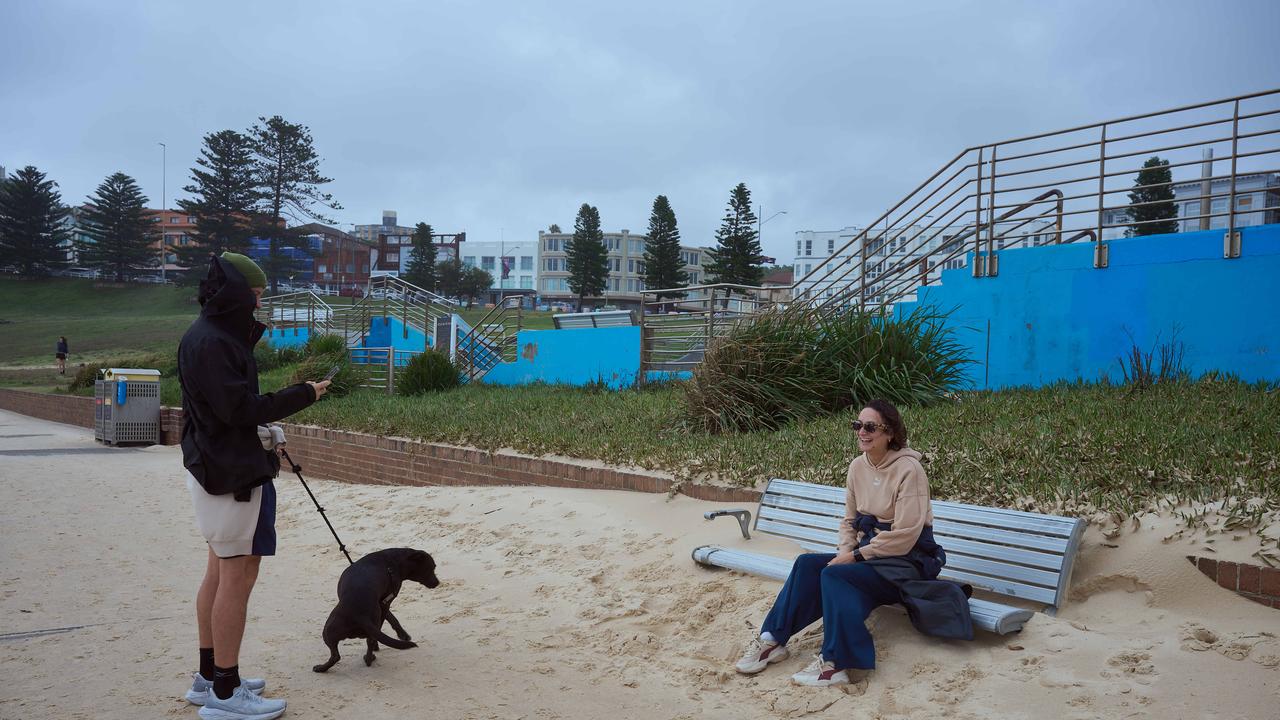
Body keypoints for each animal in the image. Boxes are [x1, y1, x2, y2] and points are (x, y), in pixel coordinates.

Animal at [311, 545, 440, 671]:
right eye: (431, 568)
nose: (437, 583)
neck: (395, 562)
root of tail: (360, 615)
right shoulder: (384, 603)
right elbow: (391, 618)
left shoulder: (385, 602)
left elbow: (391, 619)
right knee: (364, 643)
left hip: (327, 630)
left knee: (338, 655)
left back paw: (322, 668)